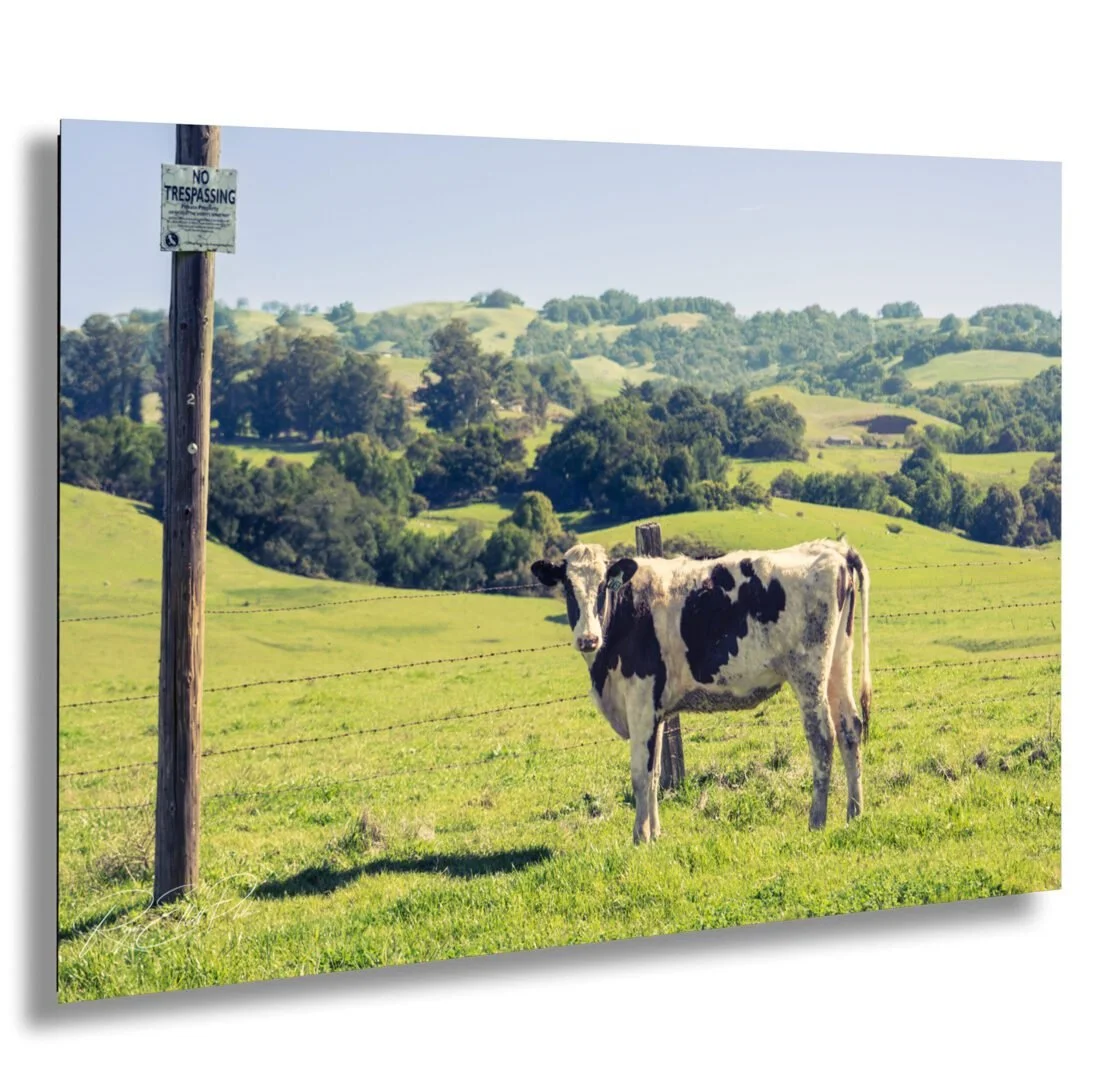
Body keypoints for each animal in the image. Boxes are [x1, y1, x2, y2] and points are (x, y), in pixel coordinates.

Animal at [531, 539, 871, 844]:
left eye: (604, 587)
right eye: (568, 588)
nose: (588, 639)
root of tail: (832, 548)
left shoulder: (641, 699)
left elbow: (640, 775)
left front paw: (640, 837)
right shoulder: (656, 708)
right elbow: (655, 774)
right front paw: (655, 834)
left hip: (808, 672)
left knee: (823, 737)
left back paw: (817, 821)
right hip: (838, 661)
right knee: (850, 728)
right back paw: (854, 814)